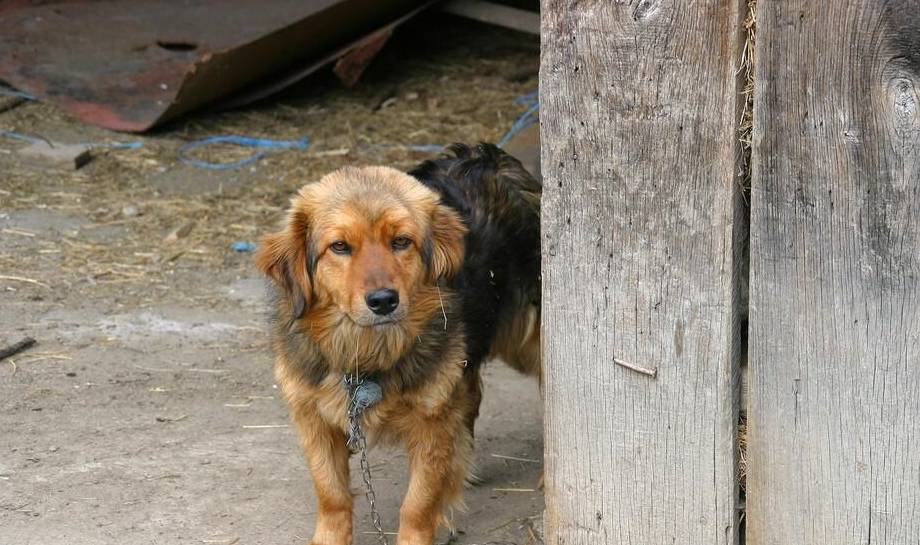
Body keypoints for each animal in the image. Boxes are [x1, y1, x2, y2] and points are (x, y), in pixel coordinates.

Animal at [255, 144, 544, 544]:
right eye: (339, 247)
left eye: (401, 242)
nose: (383, 301)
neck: (365, 350)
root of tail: (487, 155)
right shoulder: (313, 417)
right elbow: (332, 495)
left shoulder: (432, 420)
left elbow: (417, 503)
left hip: (527, 338)